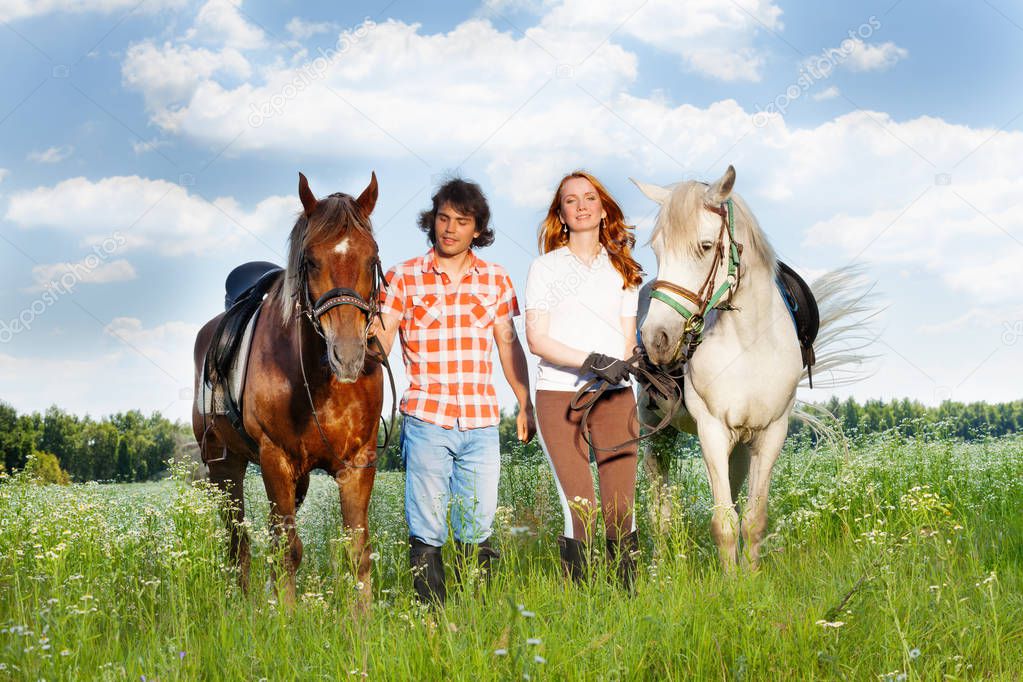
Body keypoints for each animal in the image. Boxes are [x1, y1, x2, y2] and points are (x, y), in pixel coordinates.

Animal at [192, 171, 384, 609]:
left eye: (372, 258)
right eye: (310, 261)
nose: (348, 354)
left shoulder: (357, 463)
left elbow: (356, 552)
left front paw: (363, 621)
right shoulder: (274, 458)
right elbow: (288, 549)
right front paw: (287, 617)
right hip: (224, 468)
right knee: (240, 543)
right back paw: (246, 605)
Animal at [634, 165, 875, 572]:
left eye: (705, 246)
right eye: (657, 249)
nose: (656, 339)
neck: (749, 345)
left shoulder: (769, 433)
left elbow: (752, 517)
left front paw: (749, 576)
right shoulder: (712, 431)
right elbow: (724, 522)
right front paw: (730, 581)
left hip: (740, 447)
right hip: (657, 433)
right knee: (660, 508)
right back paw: (661, 565)